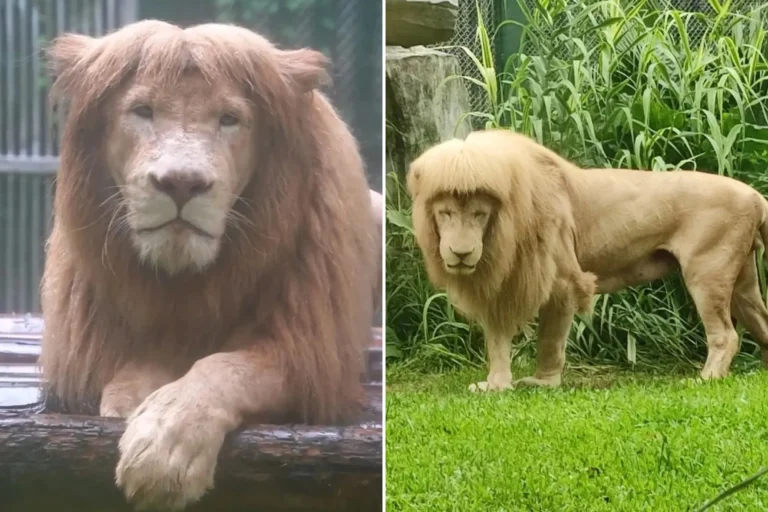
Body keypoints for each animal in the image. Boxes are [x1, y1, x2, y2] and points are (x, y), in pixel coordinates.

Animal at [40, 20, 378, 511]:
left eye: (229, 119)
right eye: (142, 111)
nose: (182, 183)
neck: (186, 280)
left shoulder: (309, 356)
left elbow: (223, 368)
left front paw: (165, 445)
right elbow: (139, 367)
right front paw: (132, 400)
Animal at [407, 129, 768, 392]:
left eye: (480, 214)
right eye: (445, 213)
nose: (461, 253)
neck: (502, 232)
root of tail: (755, 195)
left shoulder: (564, 281)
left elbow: (550, 340)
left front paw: (543, 383)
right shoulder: (501, 285)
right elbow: (497, 341)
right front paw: (495, 385)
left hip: (706, 273)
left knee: (726, 335)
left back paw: (706, 378)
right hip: (743, 282)